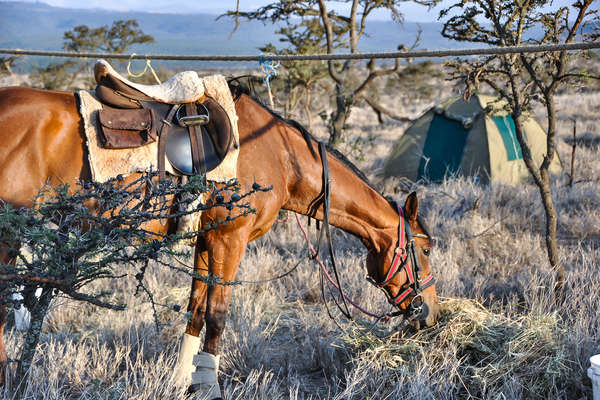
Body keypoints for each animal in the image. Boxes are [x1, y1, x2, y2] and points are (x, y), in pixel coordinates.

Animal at [0, 83, 440, 398]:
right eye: (424, 249)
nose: (431, 314)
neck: (282, 157)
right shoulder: (230, 239)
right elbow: (217, 314)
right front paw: (210, 386)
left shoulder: (205, 240)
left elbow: (195, 310)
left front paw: (181, 383)